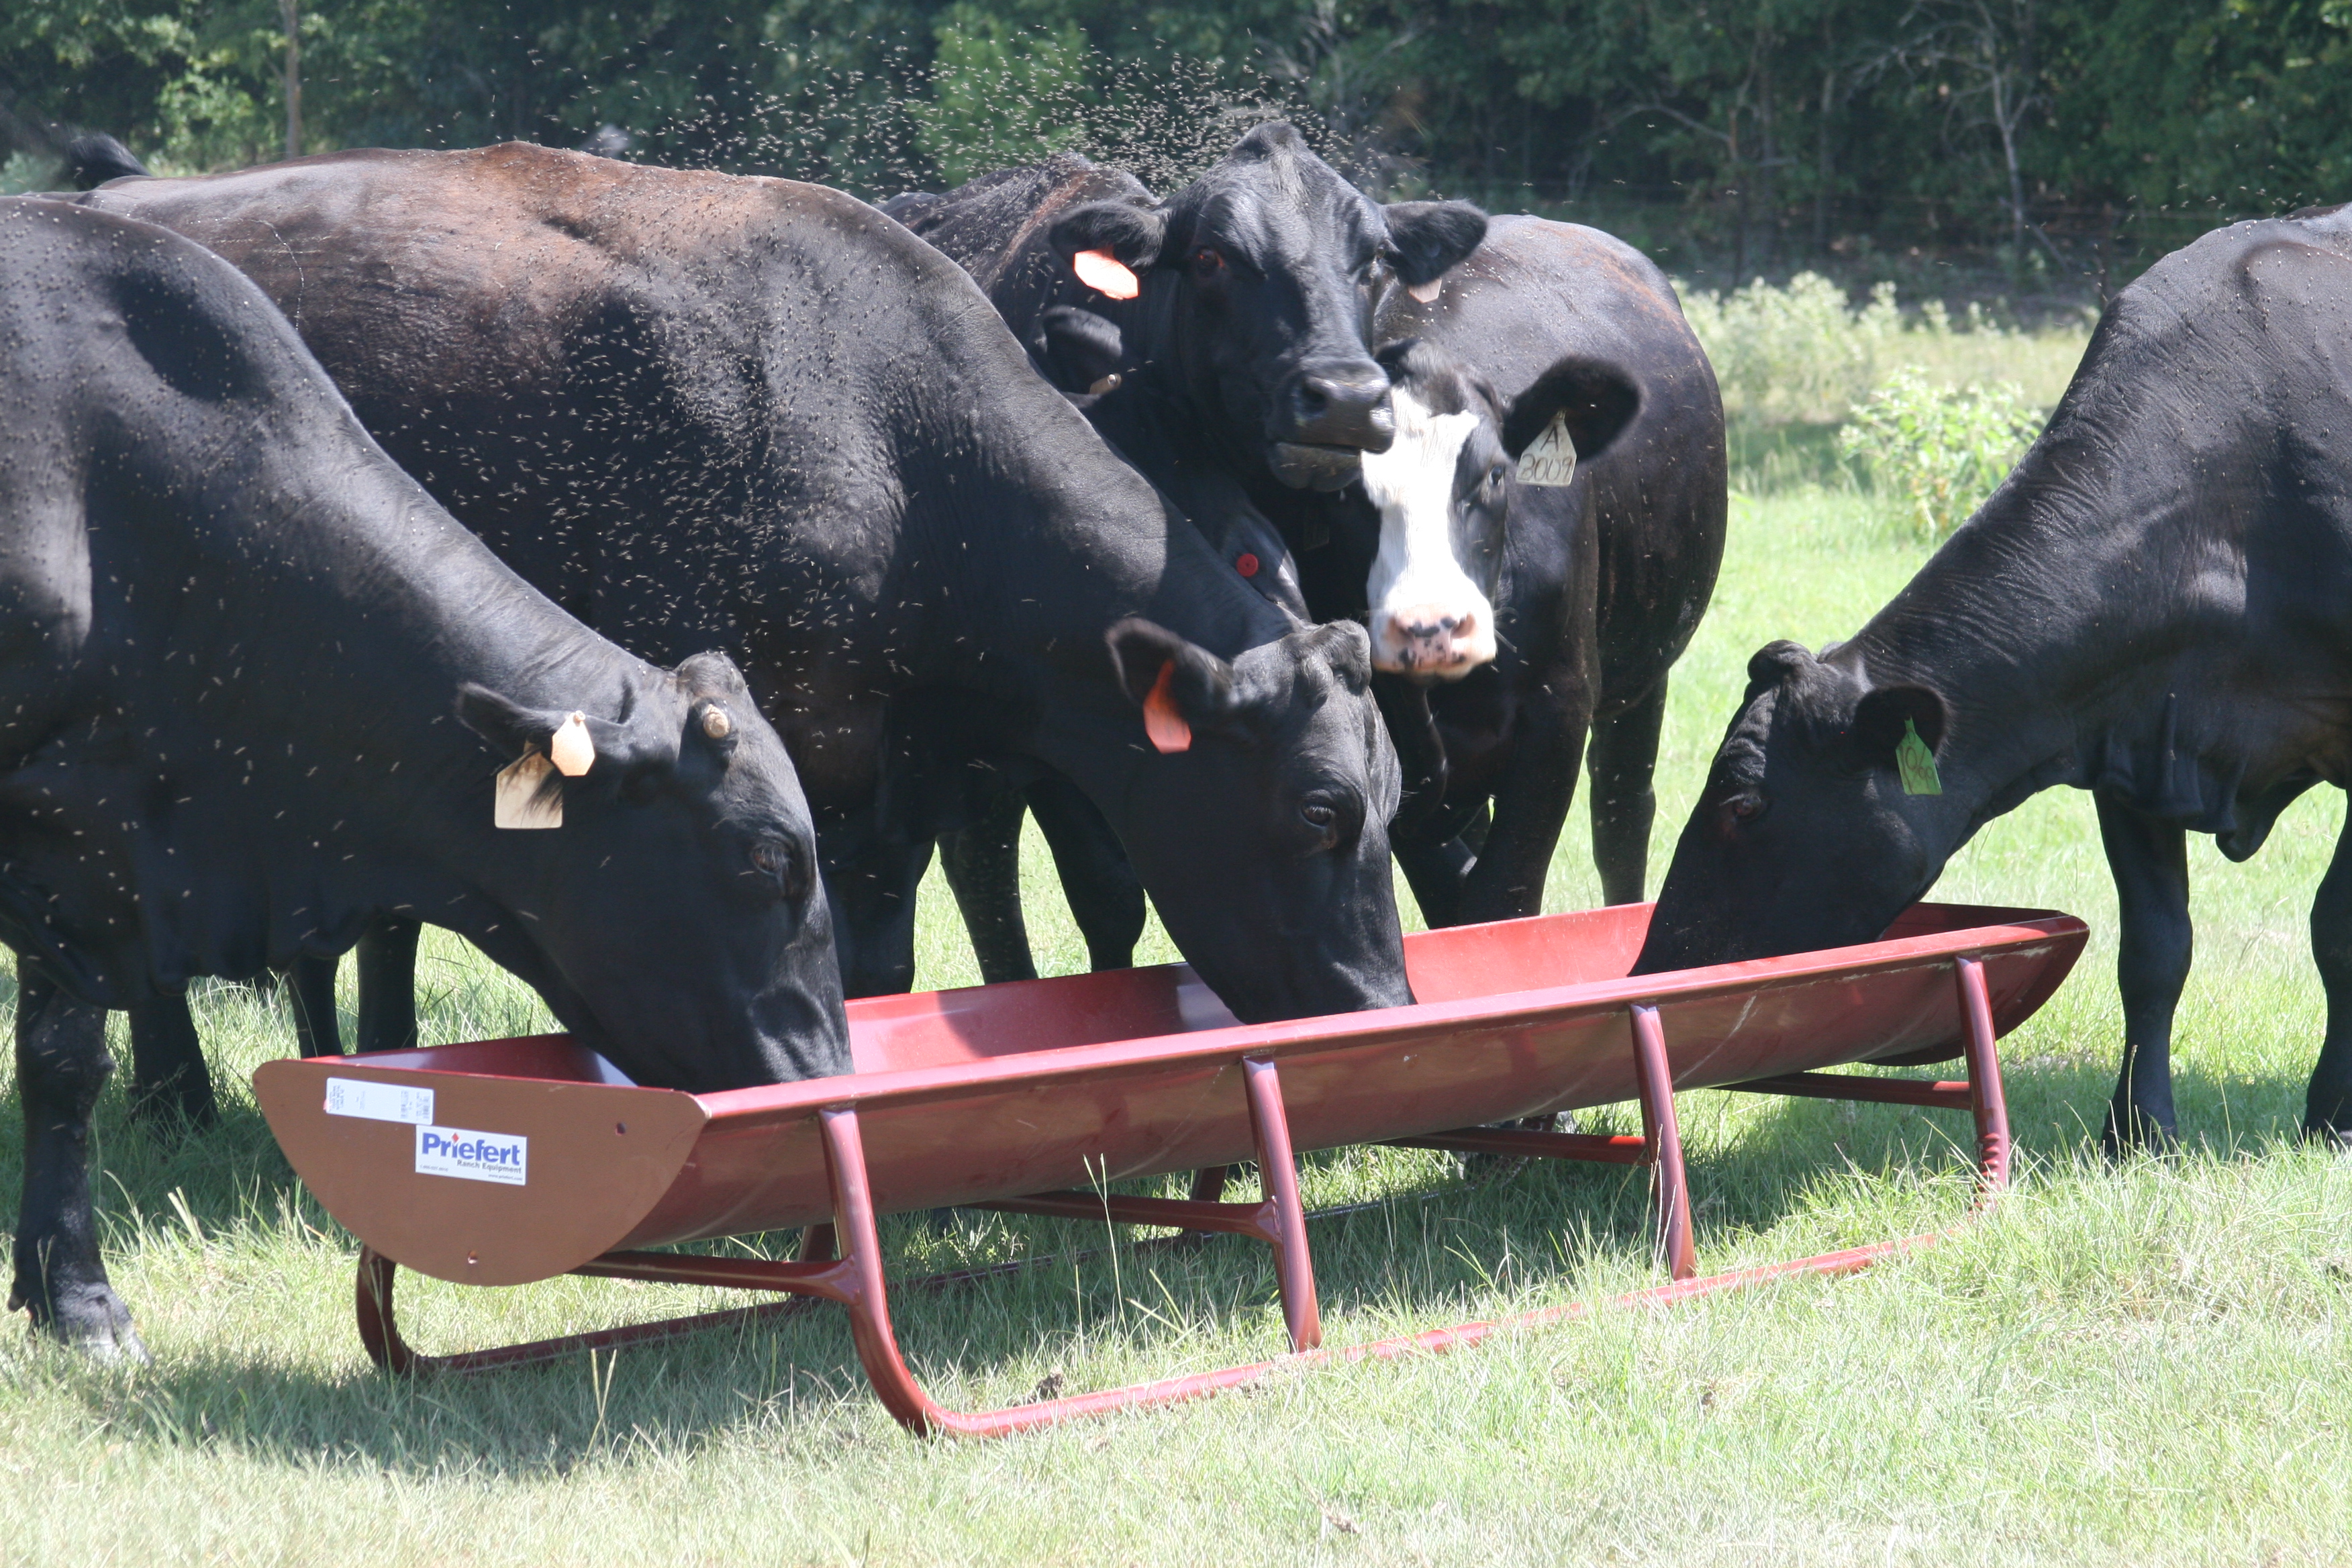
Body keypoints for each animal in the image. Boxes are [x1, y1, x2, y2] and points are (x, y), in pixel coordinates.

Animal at [1636, 202, 2352, 1152]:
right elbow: (2155, 948)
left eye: (1745, 803)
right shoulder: (2126, 734)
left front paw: (2334, 1112)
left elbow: (2335, 926)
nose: (1656, 965)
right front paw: (2136, 1130)